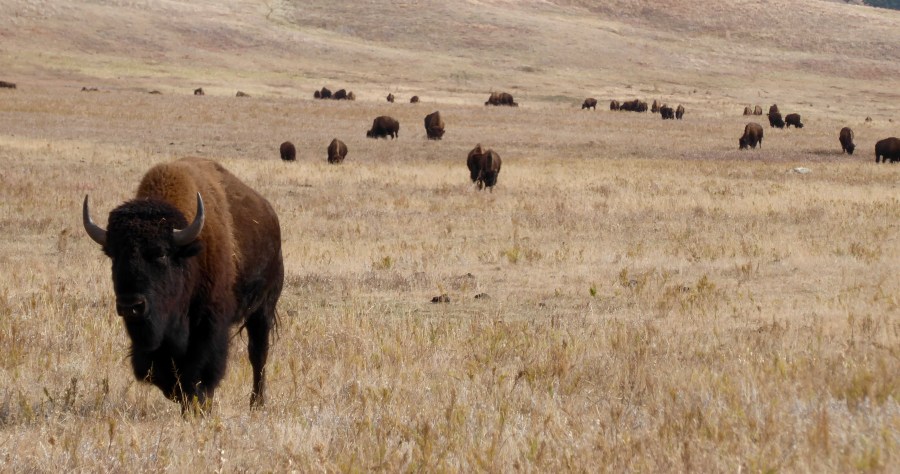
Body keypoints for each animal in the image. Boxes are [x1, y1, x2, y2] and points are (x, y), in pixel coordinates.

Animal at [82, 157, 284, 413]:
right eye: (113, 255)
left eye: (161, 253)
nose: (131, 305)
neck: (186, 255)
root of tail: (270, 216)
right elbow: (163, 375)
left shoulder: (209, 325)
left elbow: (200, 371)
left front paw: (199, 405)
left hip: (263, 308)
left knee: (258, 354)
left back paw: (256, 403)